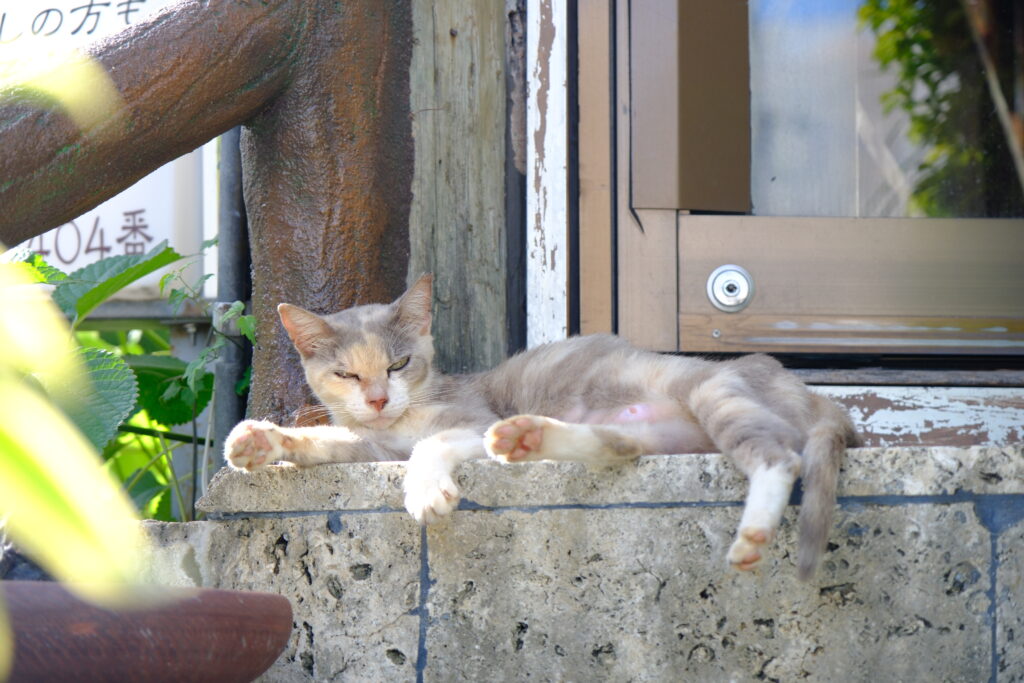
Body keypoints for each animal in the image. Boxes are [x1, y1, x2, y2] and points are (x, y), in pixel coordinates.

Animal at [224, 272, 856, 577]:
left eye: (398, 364)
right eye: (346, 374)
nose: (378, 399)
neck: (405, 412)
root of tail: (821, 399)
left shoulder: (468, 419)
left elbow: (432, 442)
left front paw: (426, 491)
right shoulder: (374, 446)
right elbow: (333, 440)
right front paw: (259, 440)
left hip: (713, 394)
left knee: (778, 456)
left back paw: (752, 537)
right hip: (656, 432)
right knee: (617, 448)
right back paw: (528, 437)